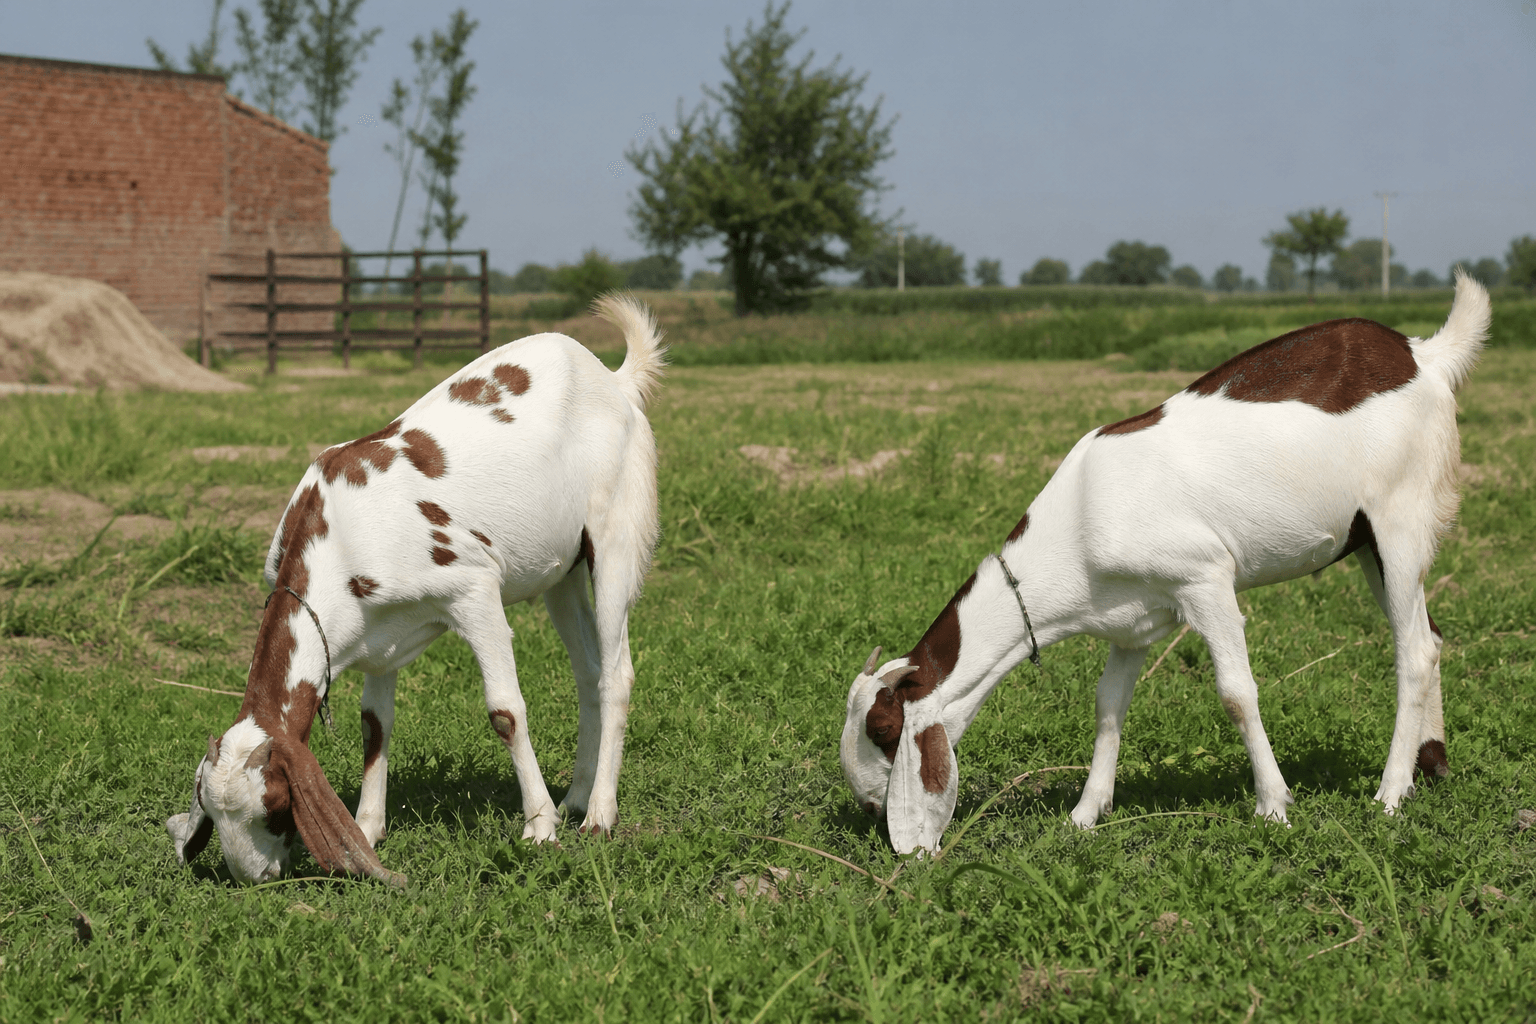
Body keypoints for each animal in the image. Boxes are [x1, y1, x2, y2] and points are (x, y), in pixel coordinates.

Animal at [167, 294, 666, 884]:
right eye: (213, 810)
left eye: (273, 803)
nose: (254, 877)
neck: (339, 535)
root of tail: (613, 380)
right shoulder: (375, 633)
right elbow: (374, 724)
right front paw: (368, 828)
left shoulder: (473, 589)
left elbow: (505, 712)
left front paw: (539, 828)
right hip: (561, 574)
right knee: (588, 670)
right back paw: (577, 798)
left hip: (614, 535)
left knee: (616, 673)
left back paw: (599, 815)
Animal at [842, 273, 1490, 856]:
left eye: (883, 730)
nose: (872, 809)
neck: (1080, 517)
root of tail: (1424, 355)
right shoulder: (1130, 620)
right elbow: (1108, 704)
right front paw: (1085, 814)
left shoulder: (1204, 578)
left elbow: (1236, 693)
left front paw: (1274, 804)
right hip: (1367, 543)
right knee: (1429, 634)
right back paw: (1430, 767)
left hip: (1400, 518)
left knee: (1414, 650)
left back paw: (1390, 793)